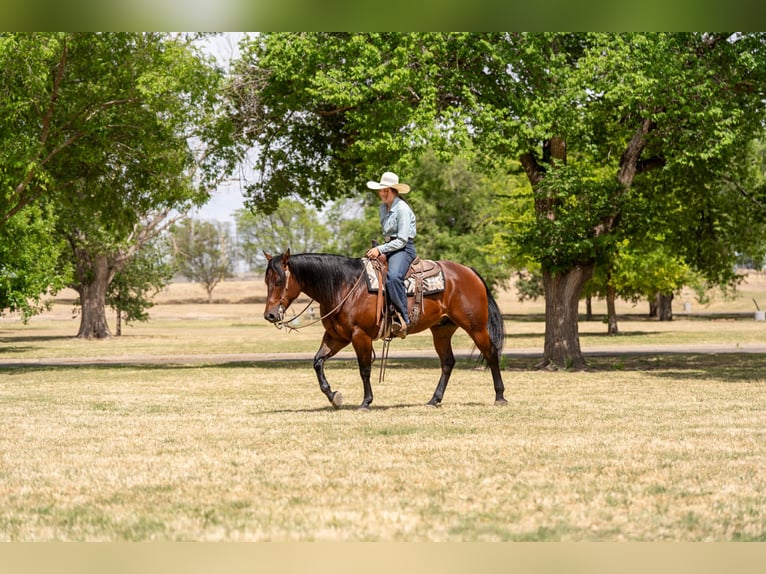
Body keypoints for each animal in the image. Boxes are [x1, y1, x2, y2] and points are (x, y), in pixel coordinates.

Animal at [262, 249, 507, 409]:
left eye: (279, 281)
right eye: (266, 281)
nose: (270, 315)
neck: (345, 286)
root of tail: (469, 272)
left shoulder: (359, 335)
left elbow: (364, 369)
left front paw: (365, 402)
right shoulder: (337, 336)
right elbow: (317, 362)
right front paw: (334, 396)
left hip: (476, 327)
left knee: (491, 353)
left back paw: (500, 397)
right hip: (442, 330)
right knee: (448, 362)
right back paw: (434, 400)